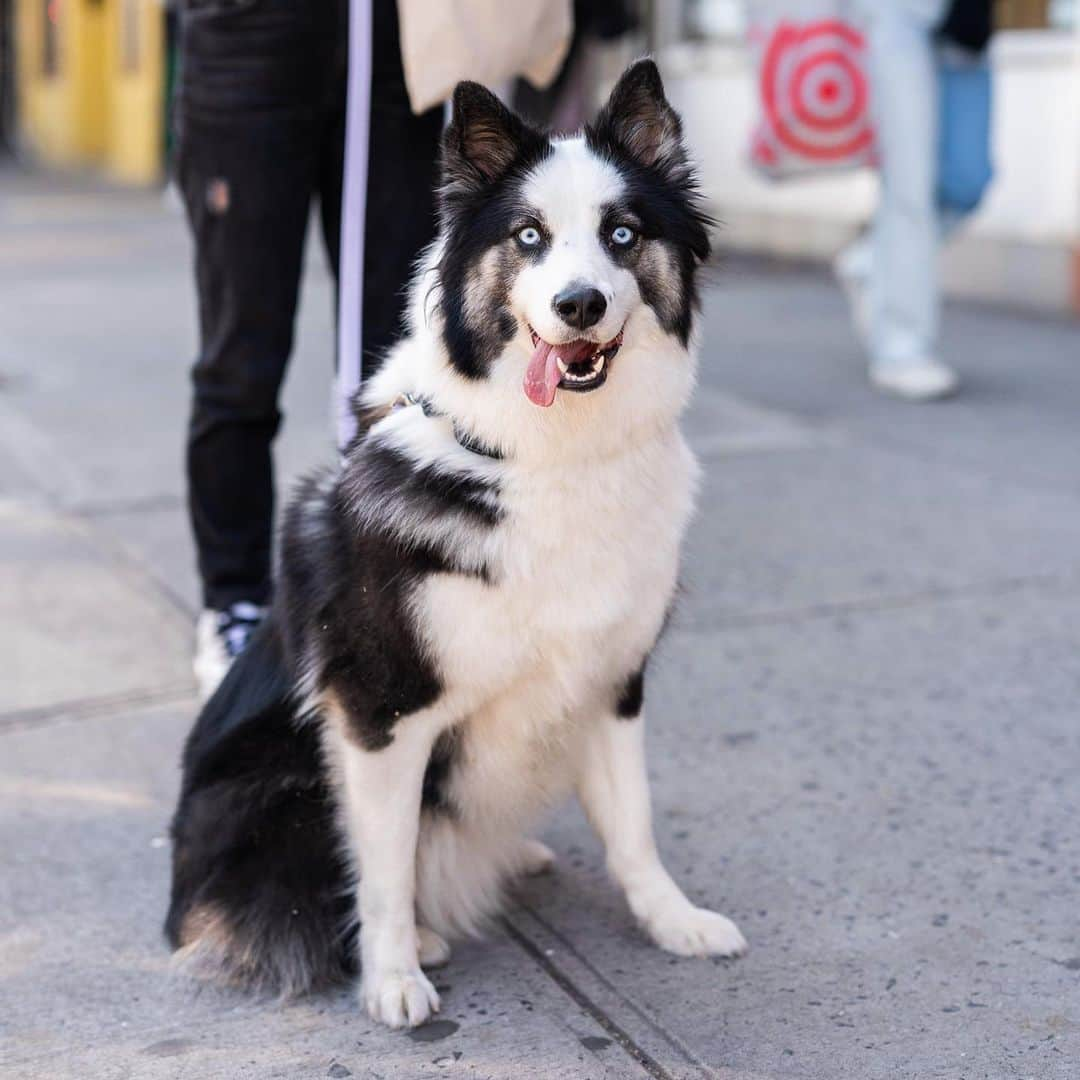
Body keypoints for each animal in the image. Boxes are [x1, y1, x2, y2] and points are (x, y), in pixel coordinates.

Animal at [166, 59, 743, 1028]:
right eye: (528, 236)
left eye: (623, 234)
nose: (578, 304)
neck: (547, 455)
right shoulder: (380, 709)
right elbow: (385, 868)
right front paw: (394, 977)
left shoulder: (612, 678)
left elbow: (632, 826)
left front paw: (673, 921)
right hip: (275, 783)